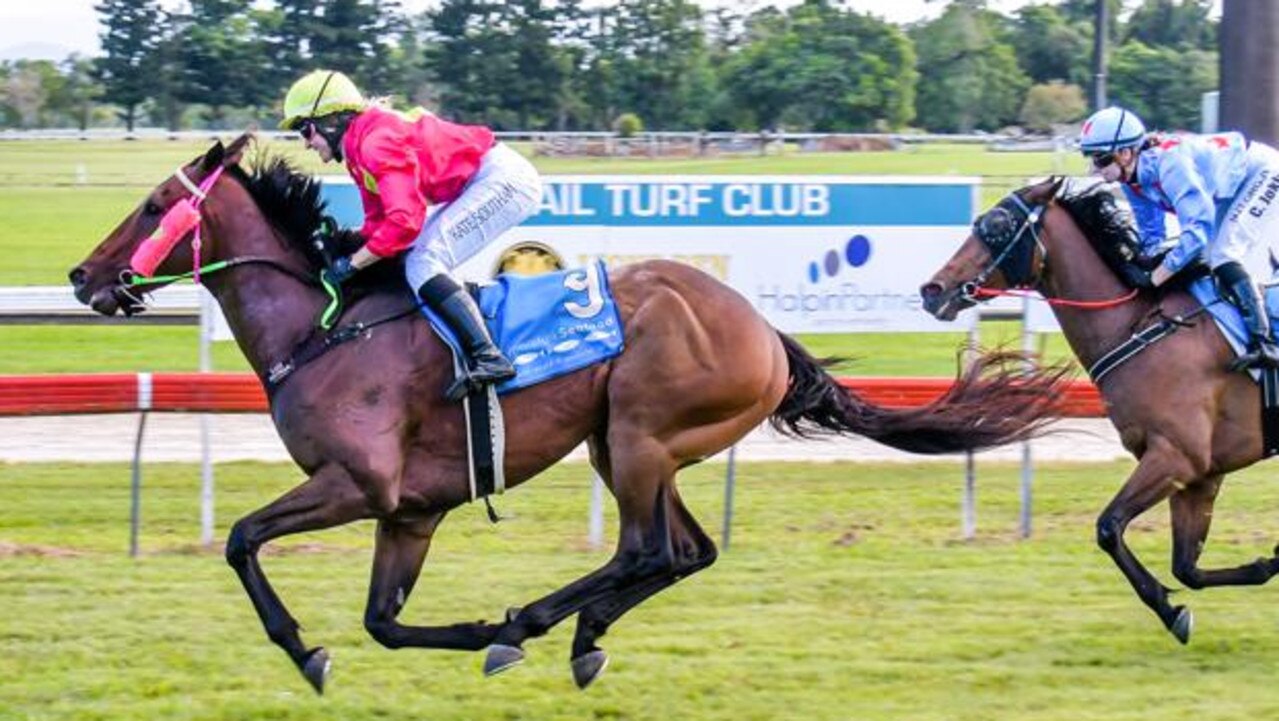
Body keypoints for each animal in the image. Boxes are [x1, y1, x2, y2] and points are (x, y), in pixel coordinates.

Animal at [70, 133, 1069, 690]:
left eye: (154, 205)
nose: (83, 276)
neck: (323, 329)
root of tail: (762, 328)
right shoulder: (409, 510)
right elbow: (382, 620)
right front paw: (425, 637)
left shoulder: (358, 482)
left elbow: (243, 538)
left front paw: (314, 649)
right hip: (633, 447)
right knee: (685, 551)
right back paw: (578, 636)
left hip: (636, 435)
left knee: (643, 550)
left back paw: (535, 624)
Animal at [925, 178, 1273, 646]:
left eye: (997, 225)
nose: (932, 290)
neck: (1139, 327)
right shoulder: (1199, 473)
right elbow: (1187, 568)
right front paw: (1199, 597)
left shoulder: (1177, 456)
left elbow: (1109, 527)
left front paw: (1169, 608)